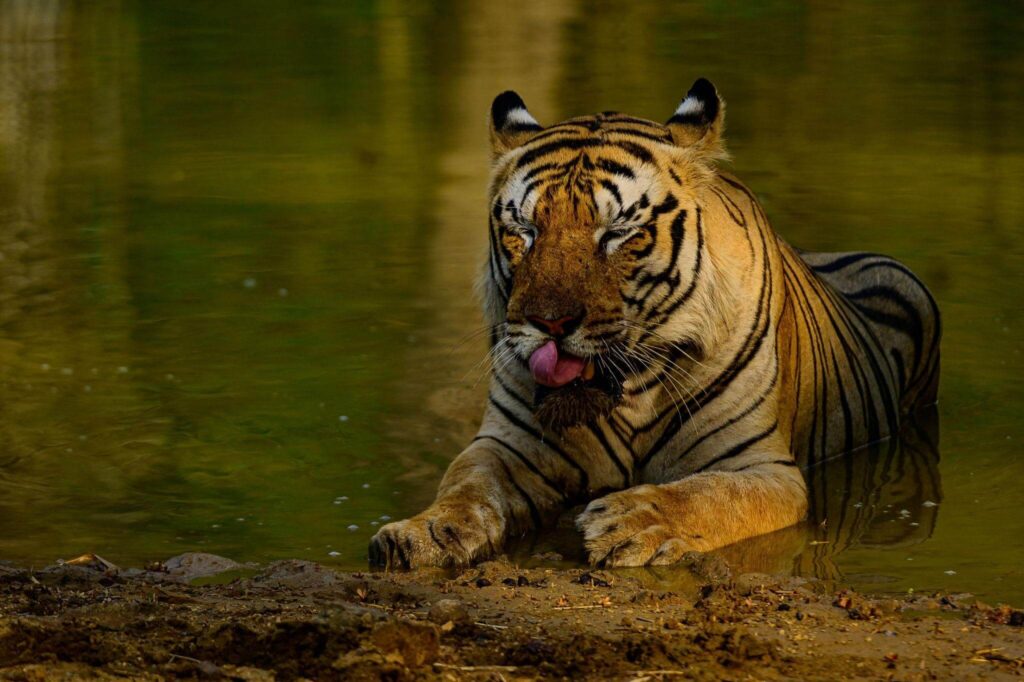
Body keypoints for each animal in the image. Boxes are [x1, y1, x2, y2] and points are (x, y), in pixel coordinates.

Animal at [368, 78, 941, 569]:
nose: (549, 323)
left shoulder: (761, 467)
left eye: (617, 233)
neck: (631, 392)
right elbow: (465, 483)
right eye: (525, 231)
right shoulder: (509, 443)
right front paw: (422, 532)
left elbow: (708, 494)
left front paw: (629, 521)